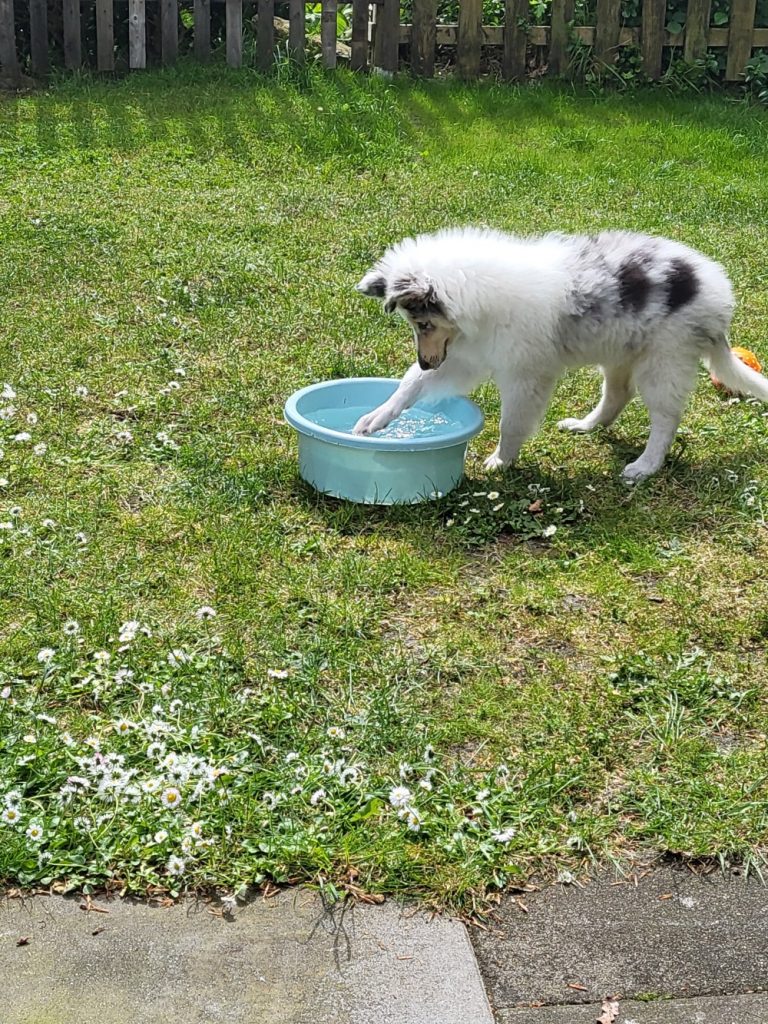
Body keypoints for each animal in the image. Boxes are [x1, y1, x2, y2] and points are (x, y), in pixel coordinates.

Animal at [356, 226, 768, 481]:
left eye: (424, 324)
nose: (427, 360)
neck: (478, 295)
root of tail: (716, 294)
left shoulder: (524, 376)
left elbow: (510, 423)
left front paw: (500, 461)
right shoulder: (464, 356)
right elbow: (411, 383)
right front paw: (376, 417)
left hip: (664, 358)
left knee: (665, 418)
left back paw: (645, 466)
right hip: (620, 351)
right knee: (618, 395)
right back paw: (586, 426)